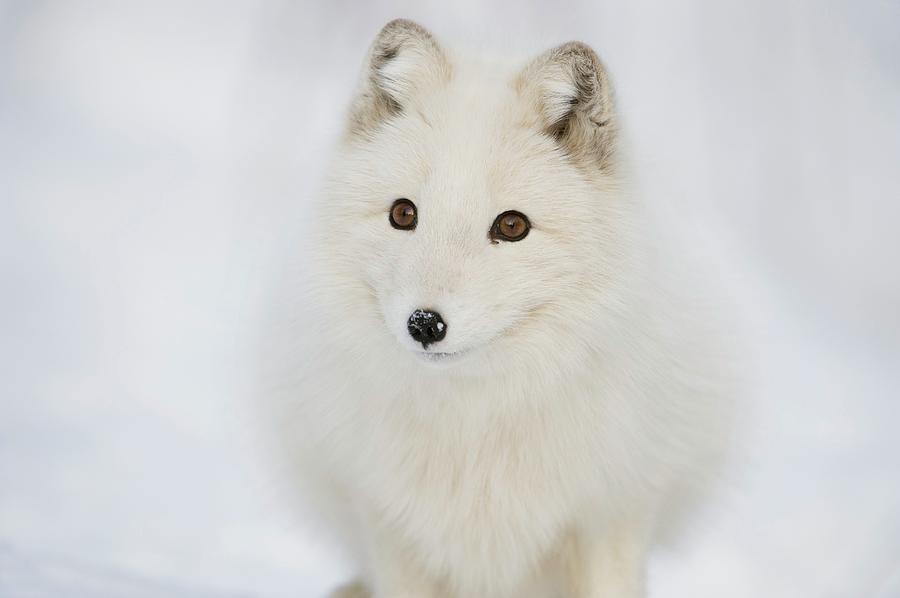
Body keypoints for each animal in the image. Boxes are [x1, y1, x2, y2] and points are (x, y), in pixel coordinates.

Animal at [258, 18, 732, 598]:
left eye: (511, 226)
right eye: (403, 213)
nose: (424, 323)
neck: (476, 418)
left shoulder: (612, 512)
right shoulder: (390, 523)